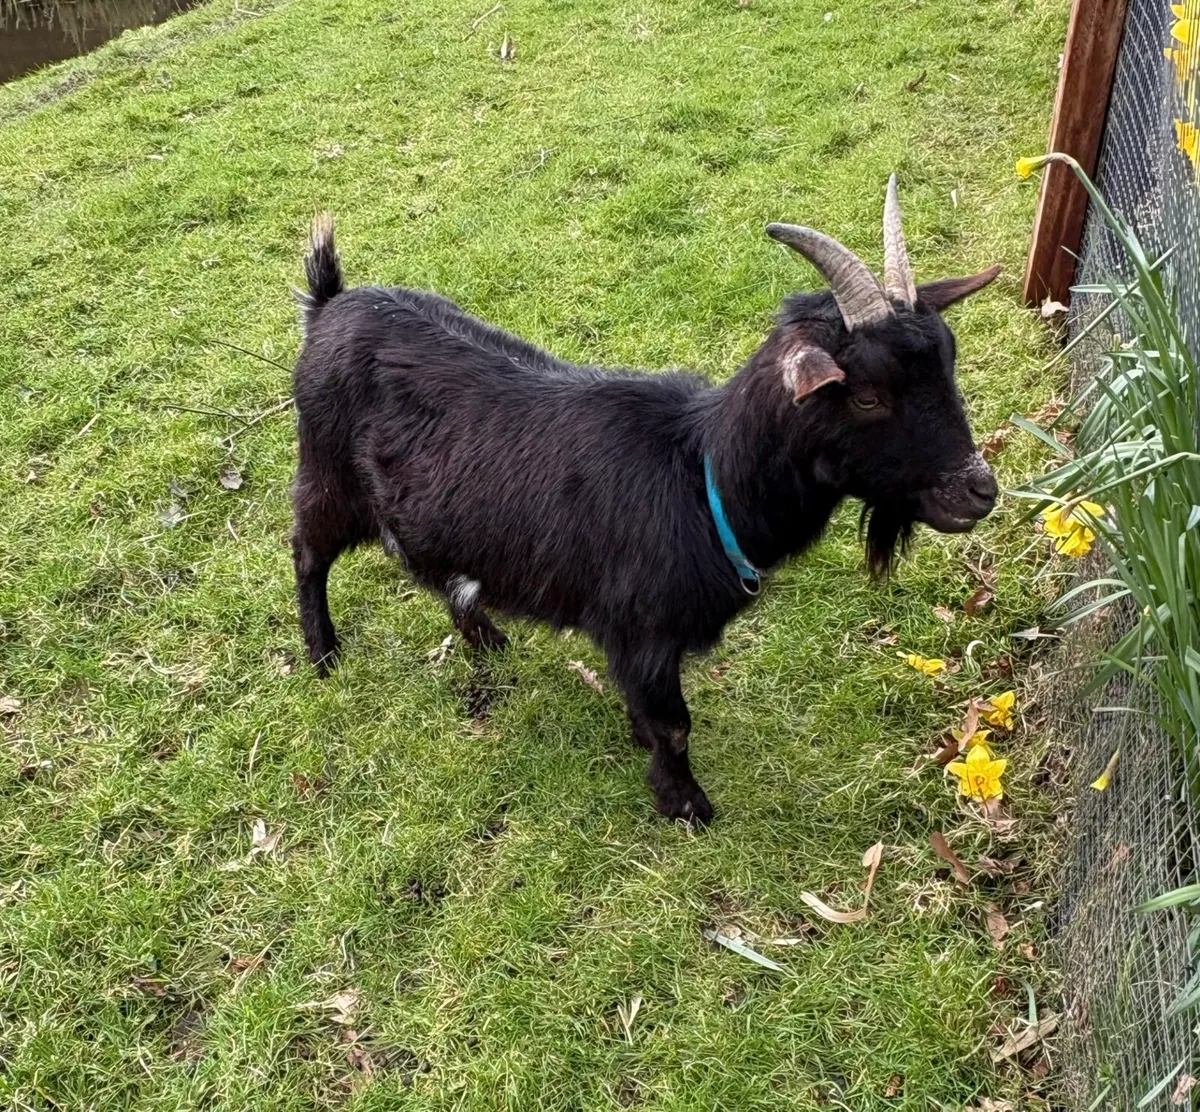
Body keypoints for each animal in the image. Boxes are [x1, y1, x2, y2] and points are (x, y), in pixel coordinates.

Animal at [290, 176, 1000, 825]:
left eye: (948, 364)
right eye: (868, 395)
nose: (980, 490)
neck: (702, 479)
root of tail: (329, 305)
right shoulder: (643, 629)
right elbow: (674, 726)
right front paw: (686, 805)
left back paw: (487, 638)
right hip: (328, 476)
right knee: (307, 552)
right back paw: (324, 657)